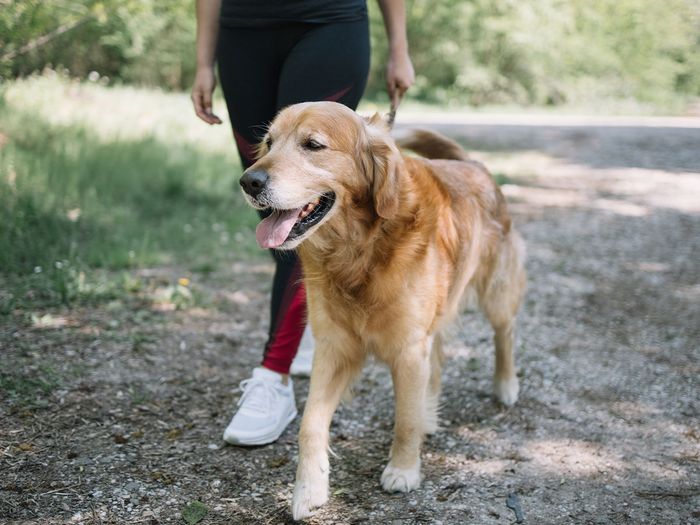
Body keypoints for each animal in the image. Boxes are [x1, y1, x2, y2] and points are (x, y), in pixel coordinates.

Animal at [239, 100, 524, 516]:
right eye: (270, 143)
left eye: (313, 145)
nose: (249, 182)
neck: (359, 250)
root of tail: (473, 164)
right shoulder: (335, 346)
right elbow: (310, 424)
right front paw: (308, 490)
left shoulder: (408, 347)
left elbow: (404, 418)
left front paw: (403, 470)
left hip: (496, 293)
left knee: (505, 334)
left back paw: (505, 385)